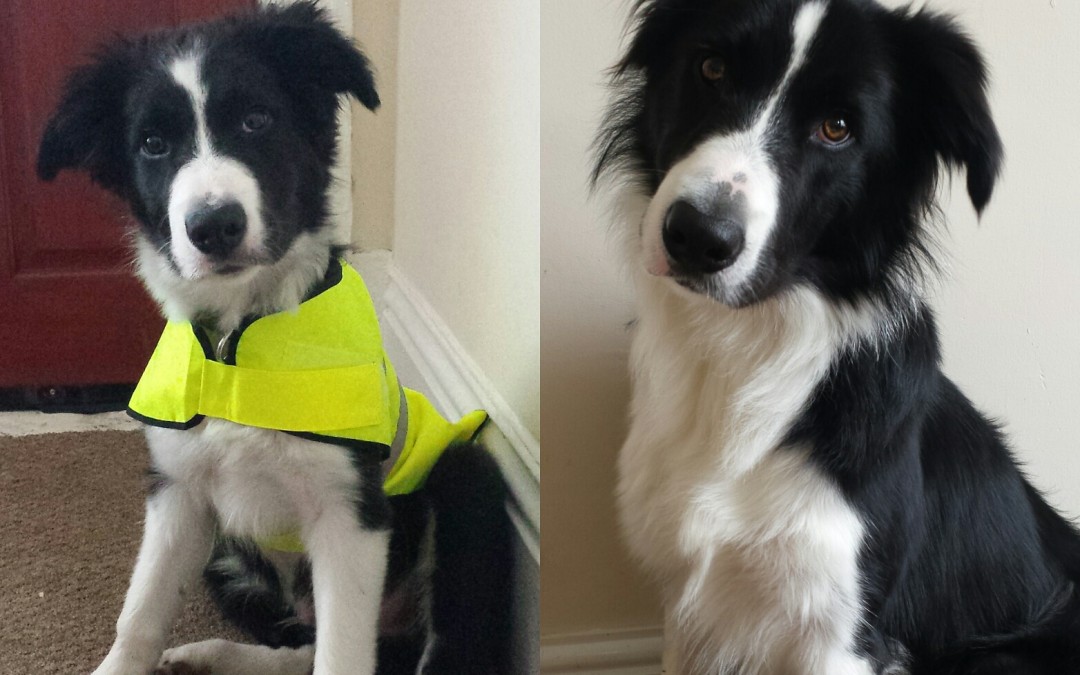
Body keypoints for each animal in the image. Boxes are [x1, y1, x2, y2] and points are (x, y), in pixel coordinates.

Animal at [39, 5, 511, 673]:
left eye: (256, 120)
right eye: (152, 144)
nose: (214, 226)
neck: (237, 348)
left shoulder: (350, 511)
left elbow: (343, 654)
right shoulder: (178, 493)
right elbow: (140, 612)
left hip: (466, 479)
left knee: (429, 646)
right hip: (226, 560)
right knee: (302, 645)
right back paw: (211, 654)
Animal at [596, 1, 1080, 673]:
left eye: (837, 128)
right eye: (712, 68)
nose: (697, 236)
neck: (740, 351)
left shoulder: (839, 631)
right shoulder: (686, 604)